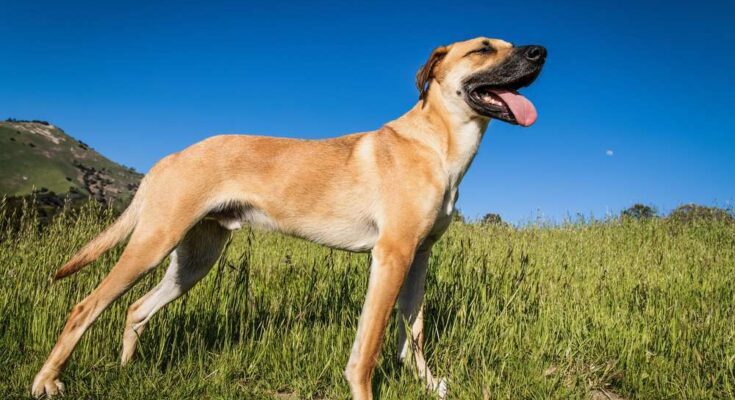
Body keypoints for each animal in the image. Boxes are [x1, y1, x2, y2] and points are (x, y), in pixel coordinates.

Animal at [31, 36, 544, 396]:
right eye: (482, 48)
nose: (541, 52)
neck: (439, 141)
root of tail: (169, 157)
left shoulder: (419, 258)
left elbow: (413, 332)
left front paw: (428, 383)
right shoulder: (391, 256)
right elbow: (368, 347)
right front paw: (364, 391)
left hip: (194, 259)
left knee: (136, 309)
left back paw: (127, 370)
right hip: (152, 244)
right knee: (85, 307)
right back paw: (47, 381)